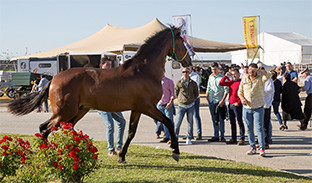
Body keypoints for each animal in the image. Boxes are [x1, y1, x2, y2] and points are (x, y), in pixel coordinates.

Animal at [8, 26, 191, 163]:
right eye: (182, 41)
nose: (189, 61)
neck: (144, 70)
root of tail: (53, 79)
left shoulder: (137, 109)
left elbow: (131, 132)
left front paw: (121, 156)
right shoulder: (148, 107)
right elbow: (168, 121)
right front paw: (175, 151)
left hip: (77, 111)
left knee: (54, 128)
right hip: (64, 112)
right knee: (45, 129)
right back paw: (49, 156)